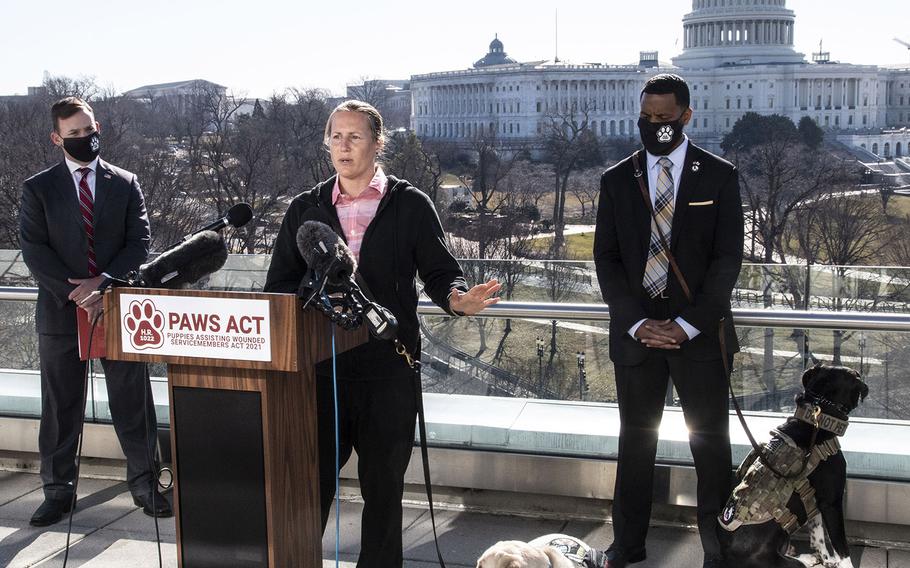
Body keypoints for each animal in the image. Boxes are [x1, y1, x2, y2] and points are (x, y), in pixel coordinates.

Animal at [720, 364, 868, 568]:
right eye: (856, 375)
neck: (817, 417)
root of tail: (726, 558)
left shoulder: (813, 501)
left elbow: (818, 537)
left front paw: (827, 559)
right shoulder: (831, 503)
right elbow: (842, 550)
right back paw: (805, 558)